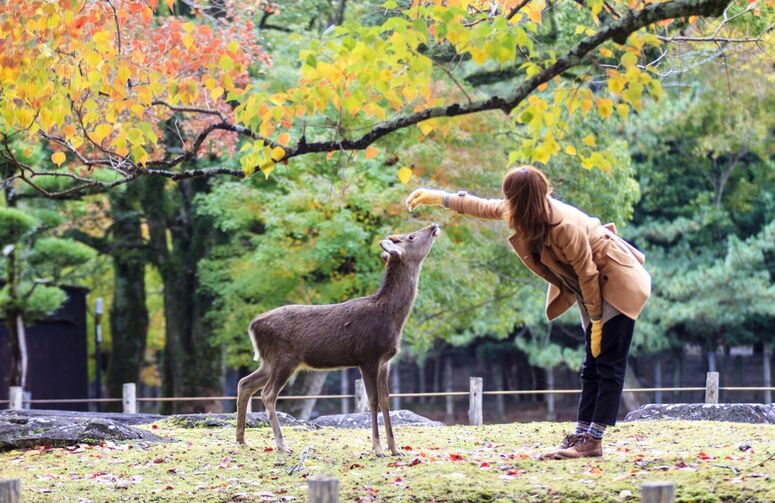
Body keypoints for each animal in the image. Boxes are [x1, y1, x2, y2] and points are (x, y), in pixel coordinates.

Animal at [235, 223, 441, 457]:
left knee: (245, 383)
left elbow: (386, 400)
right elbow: (372, 401)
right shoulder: (368, 356)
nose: (433, 226)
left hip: (269, 361)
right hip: (284, 358)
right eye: (411, 236)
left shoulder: (385, 361)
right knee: (268, 394)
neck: (391, 317)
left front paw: (395, 449)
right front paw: (378, 448)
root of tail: (253, 325)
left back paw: (241, 439)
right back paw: (281, 444)